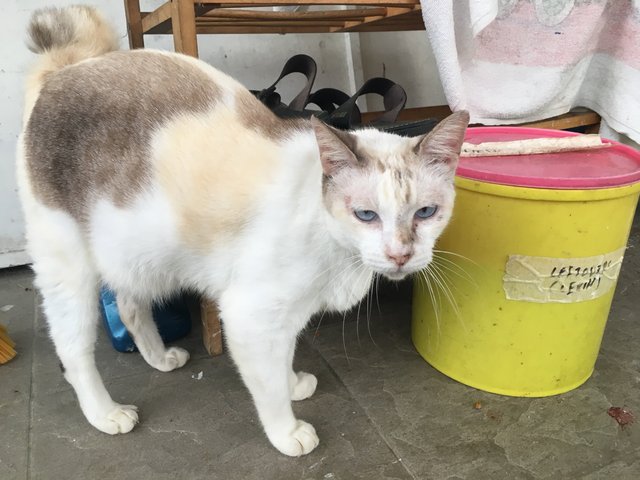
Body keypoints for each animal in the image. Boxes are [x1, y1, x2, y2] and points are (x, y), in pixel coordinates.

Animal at [18, 6, 470, 458]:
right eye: (366, 215)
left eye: (426, 212)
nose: (400, 255)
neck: (339, 251)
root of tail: (68, 67)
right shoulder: (249, 315)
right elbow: (268, 388)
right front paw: (287, 432)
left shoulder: (288, 314)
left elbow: (284, 357)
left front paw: (293, 383)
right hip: (69, 272)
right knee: (74, 351)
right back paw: (105, 413)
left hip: (134, 253)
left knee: (130, 306)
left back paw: (160, 359)